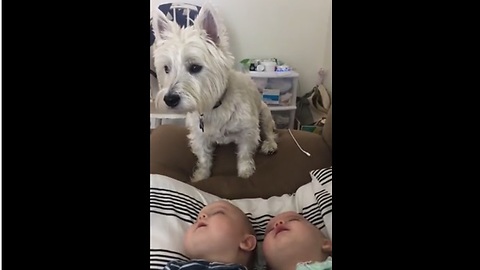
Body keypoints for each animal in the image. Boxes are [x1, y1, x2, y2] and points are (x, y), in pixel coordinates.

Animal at [150, 2, 278, 181]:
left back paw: (270, 145)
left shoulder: (248, 130)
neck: (213, 106)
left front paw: (245, 171)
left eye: (195, 67)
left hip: (265, 113)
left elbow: (245, 153)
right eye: (166, 68)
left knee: (270, 131)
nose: (169, 100)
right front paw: (201, 176)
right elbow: (204, 157)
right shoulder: (199, 136)